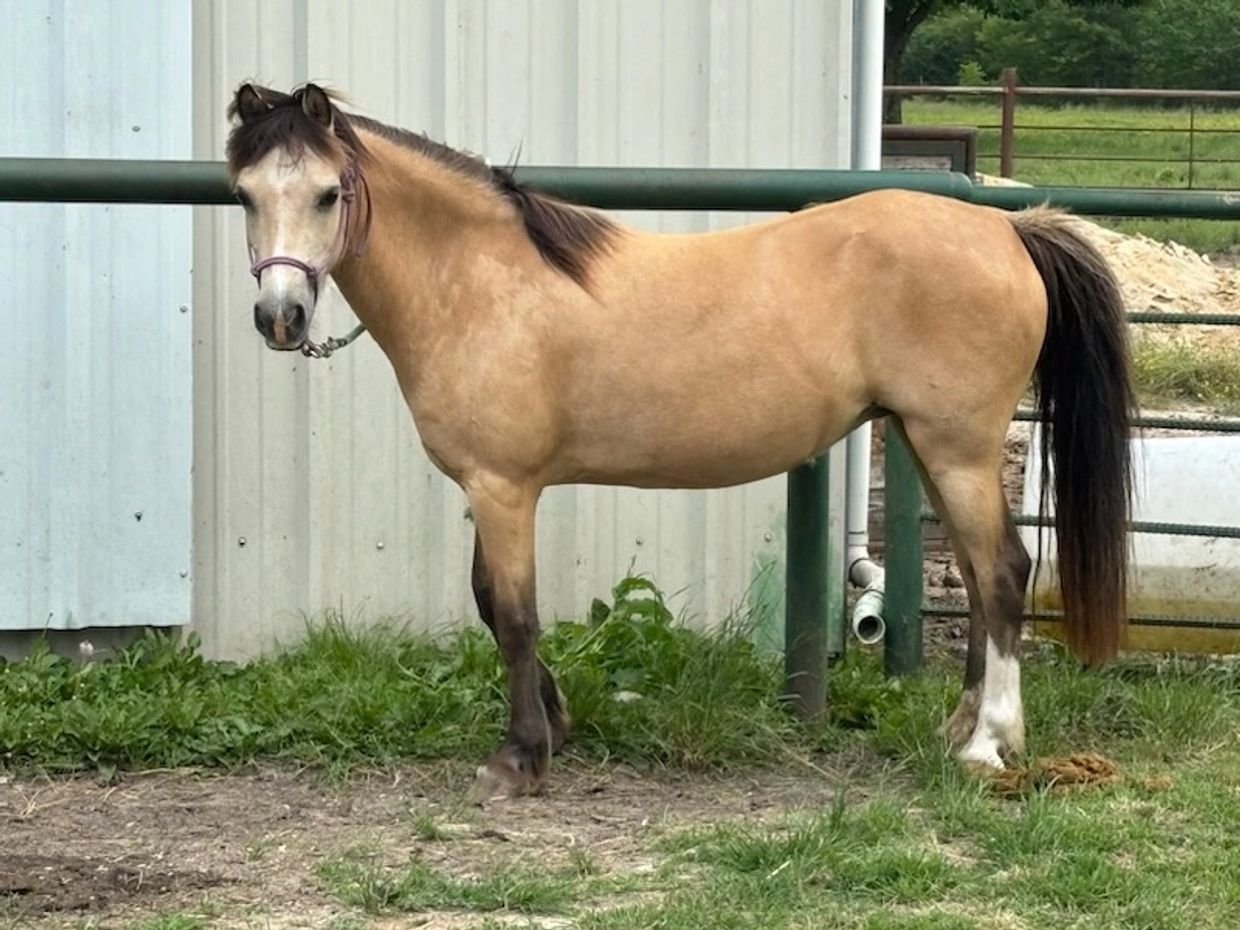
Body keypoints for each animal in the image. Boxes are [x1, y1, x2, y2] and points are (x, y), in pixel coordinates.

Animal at [226, 83, 1134, 799]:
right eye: (244, 195)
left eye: (327, 195)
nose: (280, 318)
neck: (483, 283)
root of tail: (1009, 231)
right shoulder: (489, 490)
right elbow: (490, 604)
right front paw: (556, 723)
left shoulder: (502, 486)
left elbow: (513, 616)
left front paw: (519, 759)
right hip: (927, 446)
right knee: (980, 583)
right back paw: (960, 728)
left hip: (960, 449)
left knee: (1005, 573)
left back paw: (989, 745)